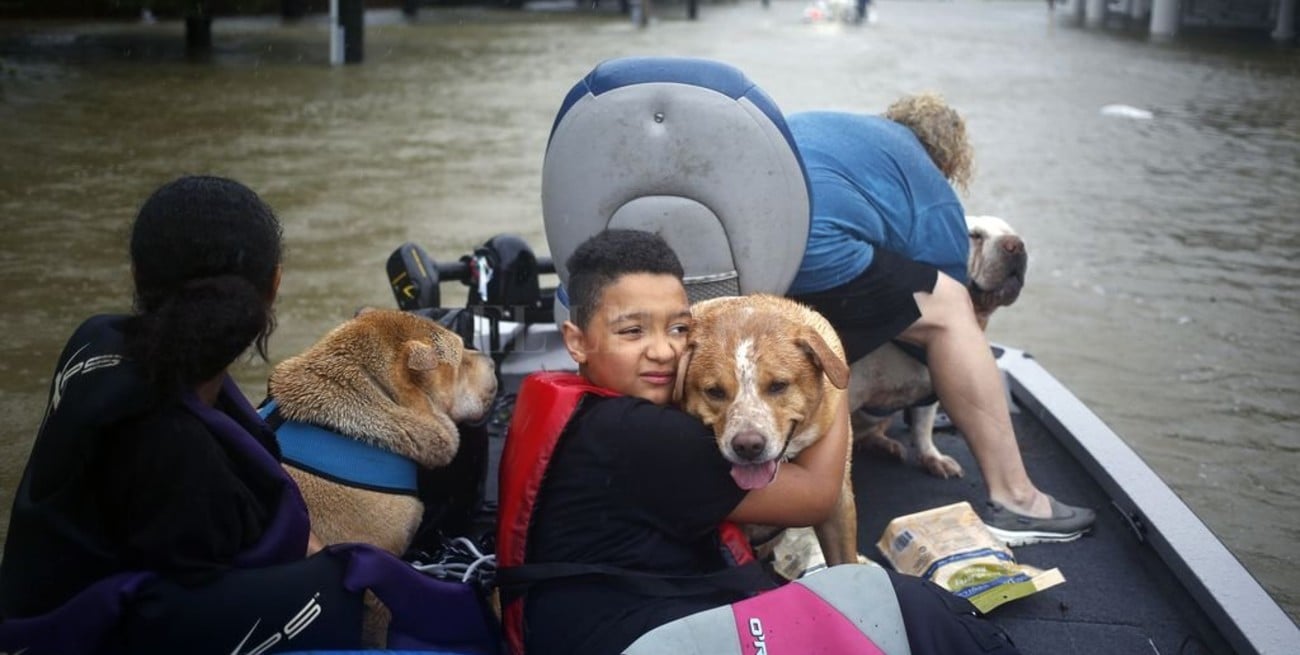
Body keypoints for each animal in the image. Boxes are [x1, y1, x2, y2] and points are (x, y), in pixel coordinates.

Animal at [847, 214, 1029, 475]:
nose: (1017, 244)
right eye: (974, 235)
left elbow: (923, 426)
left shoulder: (931, 392)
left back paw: (882, 444)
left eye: (1011, 232)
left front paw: (932, 457)